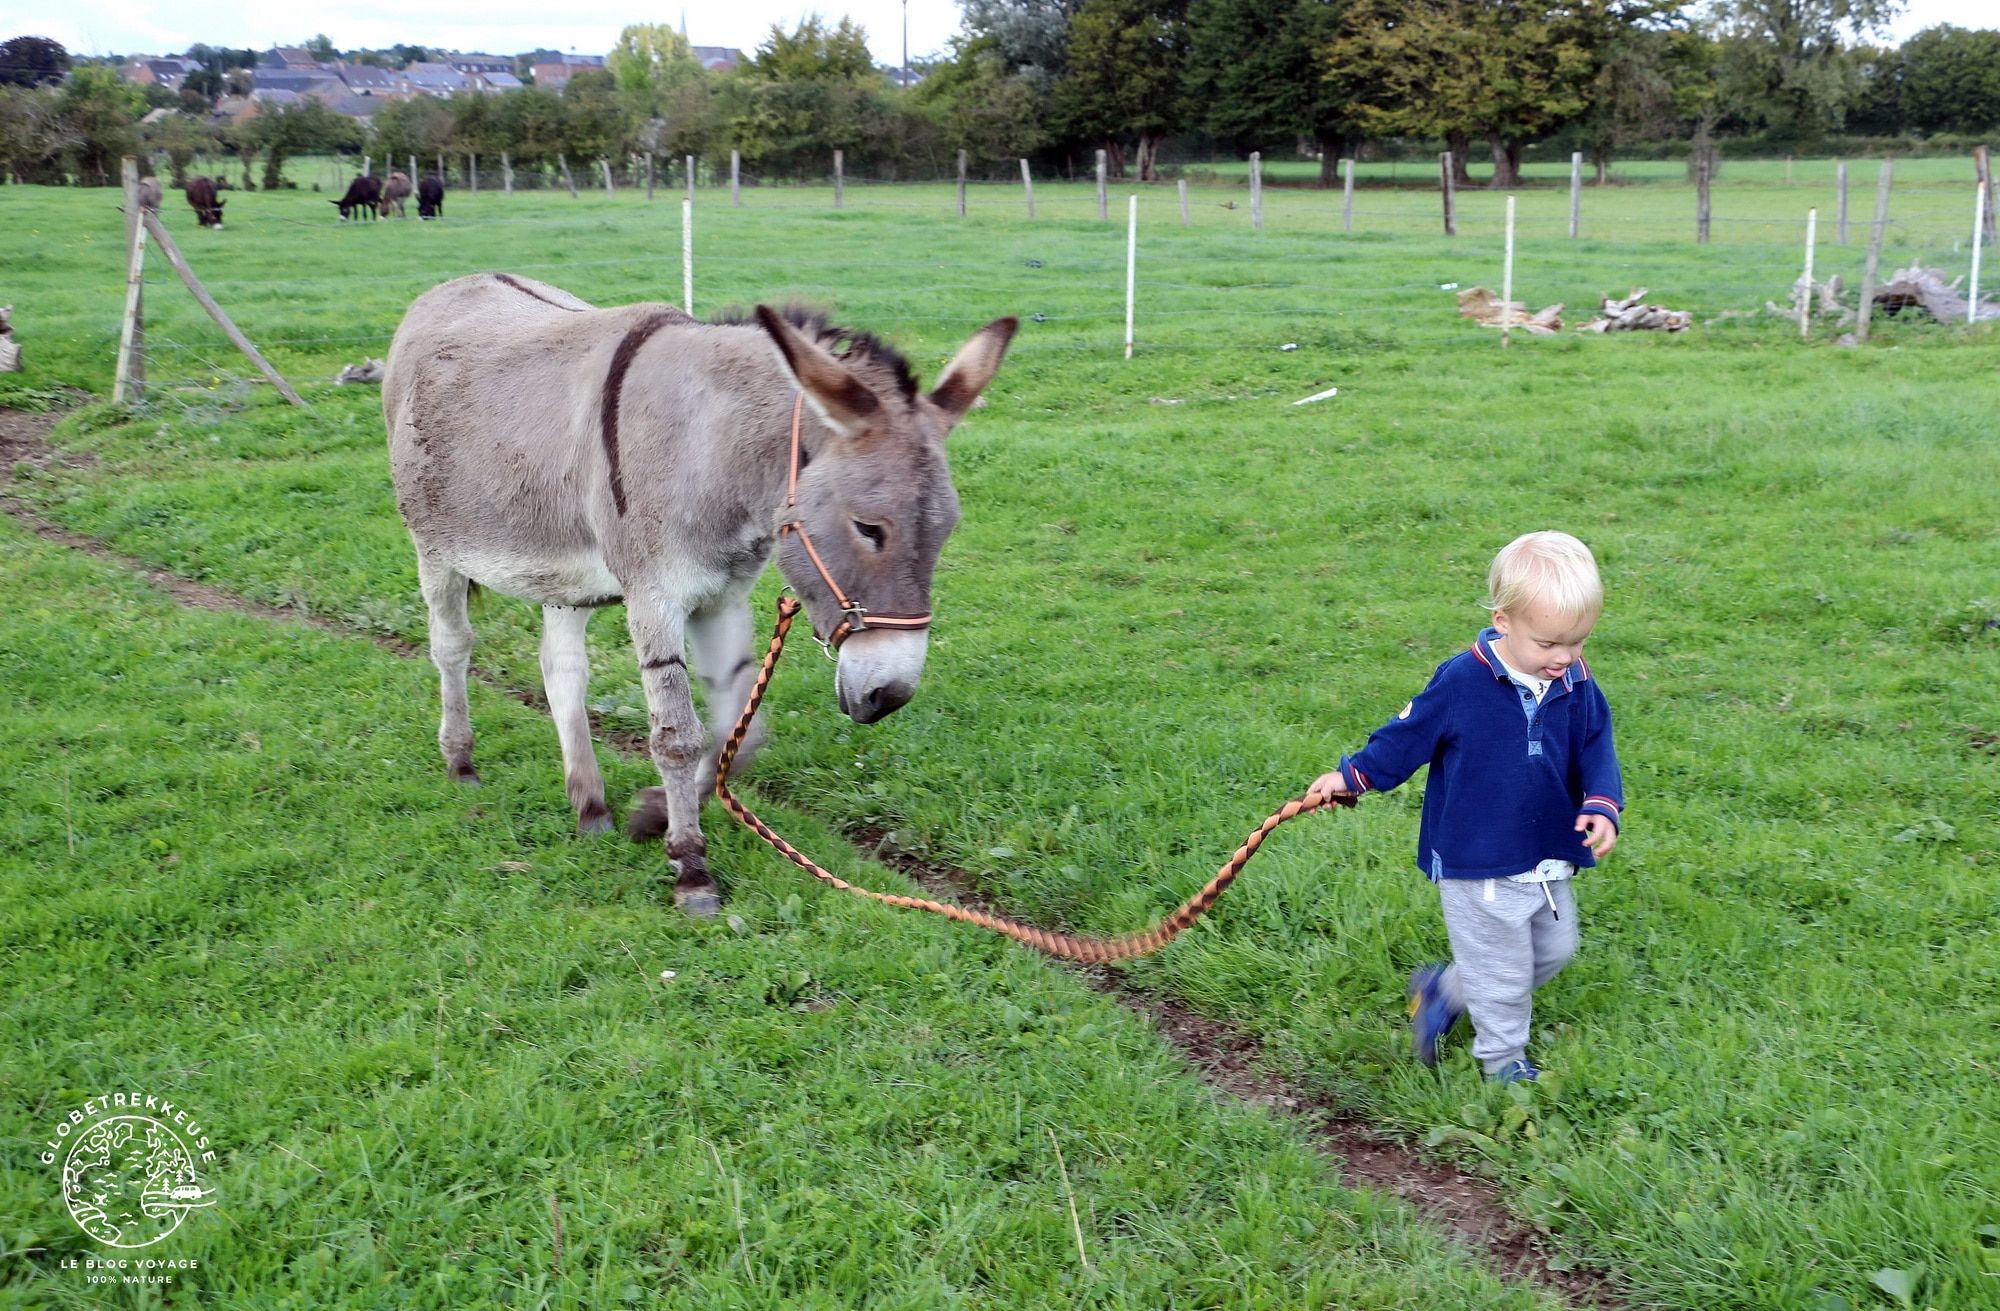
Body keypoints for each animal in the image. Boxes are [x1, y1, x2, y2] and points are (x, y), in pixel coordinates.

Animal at [384, 275, 1016, 911]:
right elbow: (676, 737)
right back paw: (461, 761)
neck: (708, 450)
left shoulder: (721, 598)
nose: (889, 697)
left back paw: (590, 805)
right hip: (433, 547)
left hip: (563, 575)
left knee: (562, 670)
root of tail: (454, 285)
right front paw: (690, 866)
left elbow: (742, 729)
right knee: (452, 648)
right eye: (869, 528)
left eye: (948, 528)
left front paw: (652, 815)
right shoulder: (654, 600)